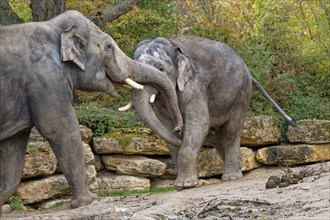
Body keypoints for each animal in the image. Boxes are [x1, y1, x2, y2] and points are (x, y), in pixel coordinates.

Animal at [0, 9, 183, 210]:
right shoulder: (46, 79)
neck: (54, 27)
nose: (178, 130)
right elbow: (61, 129)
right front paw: (88, 201)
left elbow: (13, 148)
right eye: (109, 47)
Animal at [125, 36, 296, 191]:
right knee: (217, 137)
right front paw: (179, 185)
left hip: (242, 93)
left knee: (230, 132)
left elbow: (199, 124)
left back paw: (231, 176)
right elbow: (166, 129)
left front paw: (186, 185)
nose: (179, 128)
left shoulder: (196, 85)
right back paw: (238, 167)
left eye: (161, 69)